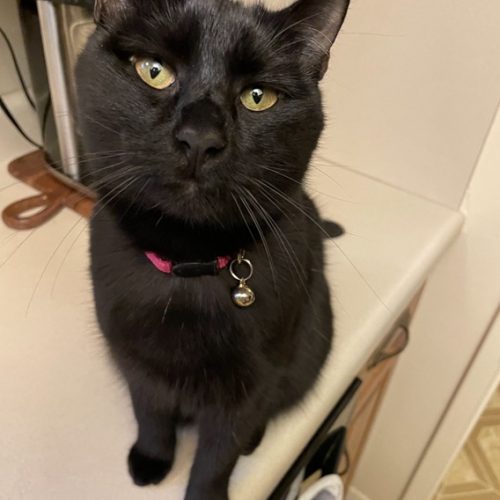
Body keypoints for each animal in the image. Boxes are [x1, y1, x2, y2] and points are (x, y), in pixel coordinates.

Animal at [75, 0, 349, 498]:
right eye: (154, 71)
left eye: (258, 97)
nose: (199, 138)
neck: (188, 265)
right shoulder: (137, 364)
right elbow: (151, 415)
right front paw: (151, 459)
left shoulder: (250, 387)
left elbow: (217, 457)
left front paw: (204, 491)